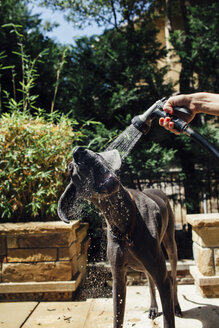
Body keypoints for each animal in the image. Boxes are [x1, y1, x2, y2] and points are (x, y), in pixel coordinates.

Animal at [57, 147, 181, 328]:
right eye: (70, 168)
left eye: (97, 153)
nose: (78, 151)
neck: (124, 221)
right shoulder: (118, 278)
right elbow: (117, 317)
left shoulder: (162, 279)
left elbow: (168, 316)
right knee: (150, 280)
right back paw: (153, 307)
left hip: (170, 244)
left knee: (173, 277)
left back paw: (177, 306)